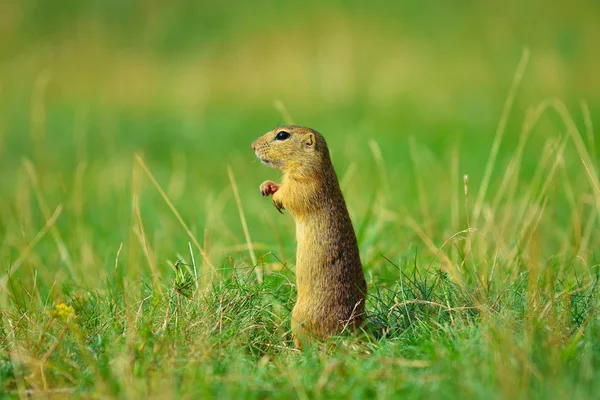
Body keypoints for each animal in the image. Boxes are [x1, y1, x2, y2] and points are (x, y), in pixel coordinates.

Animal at [252, 126, 368, 346]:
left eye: (282, 135)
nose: (253, 145)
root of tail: (350, 332)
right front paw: (266, 186)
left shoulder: (306, 182)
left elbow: (291, 194)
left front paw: (277, 197)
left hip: (299, 316)